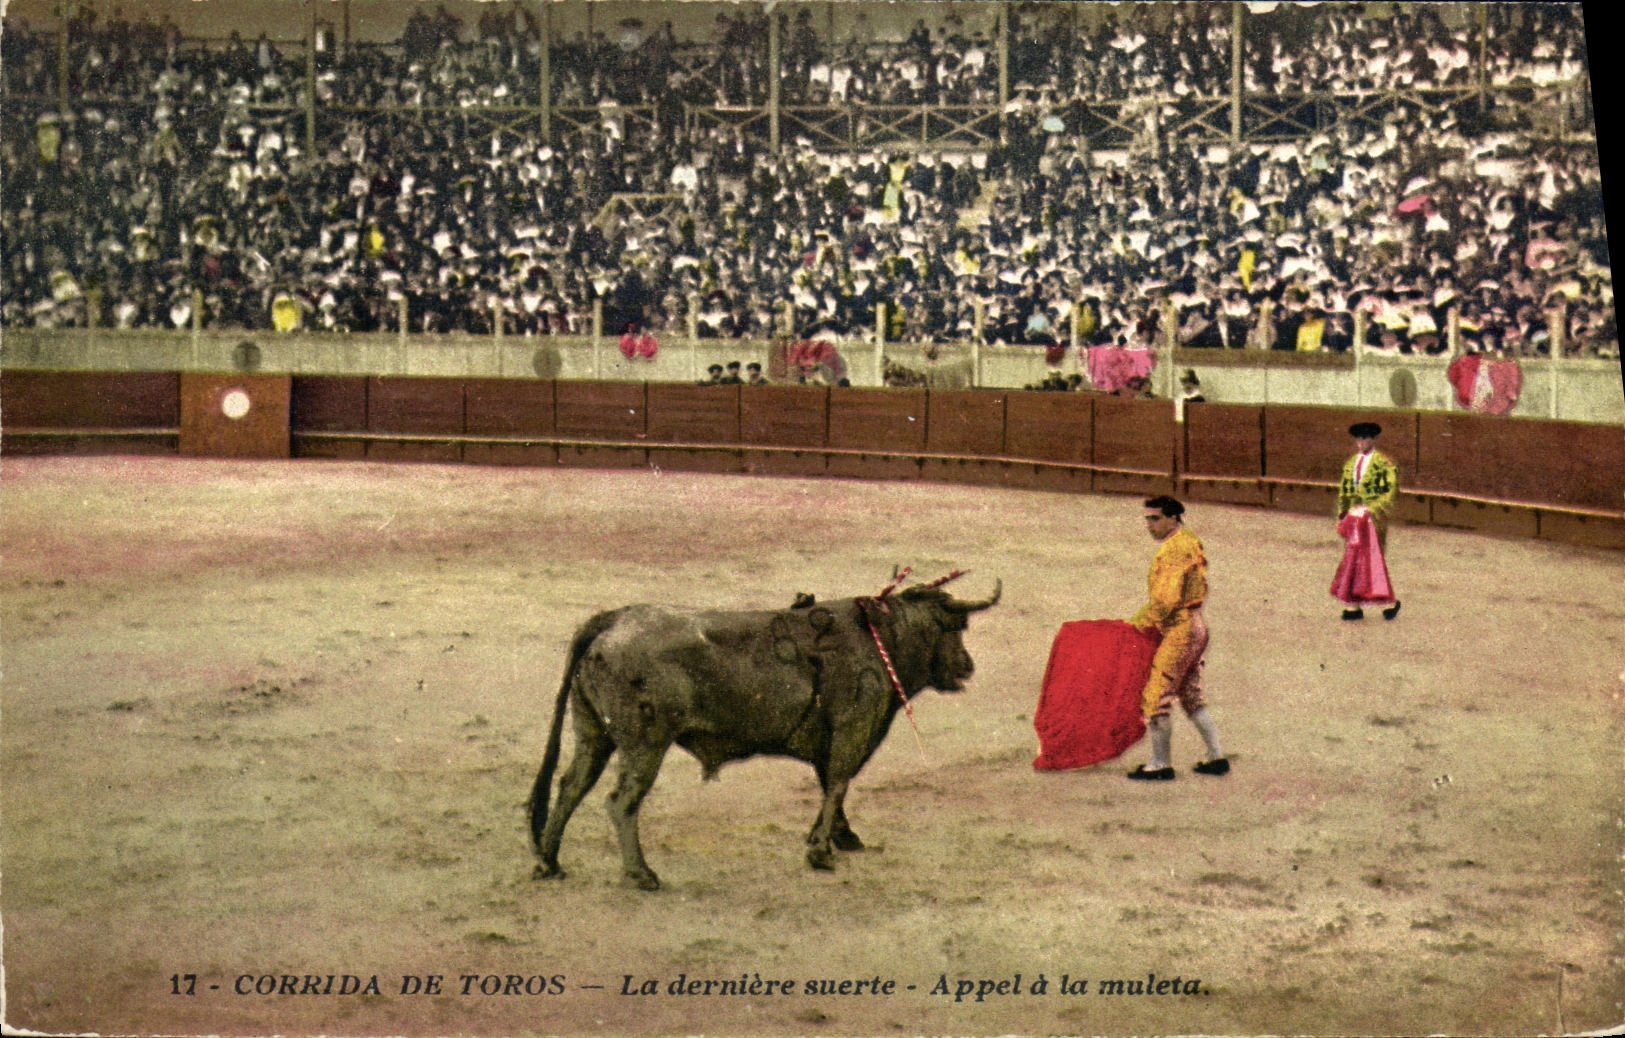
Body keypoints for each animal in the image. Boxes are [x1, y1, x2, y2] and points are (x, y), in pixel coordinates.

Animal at [527, 574, 1000, 890]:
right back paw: (641, 873)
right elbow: (839, 782)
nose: (968, 666)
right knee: (620, 800)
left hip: (593, 733)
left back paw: (549, 863)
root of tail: (611, 620)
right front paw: (820, 851)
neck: (878, 638)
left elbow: (831, 785)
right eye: (954, 627)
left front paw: (839, 838)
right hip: (645, 743)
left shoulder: (831, 740)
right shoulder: (853, 728)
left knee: (571, 785)